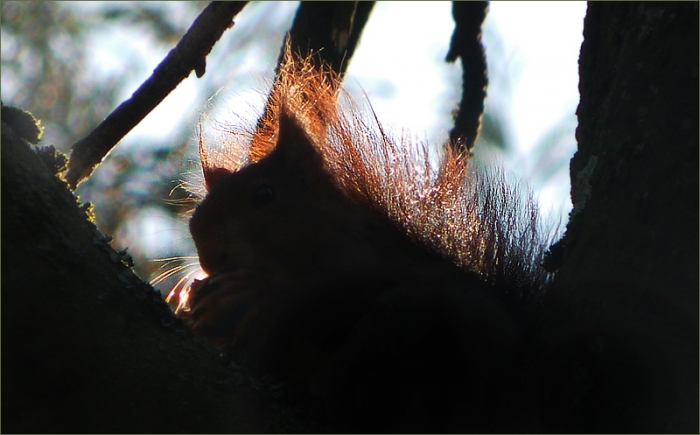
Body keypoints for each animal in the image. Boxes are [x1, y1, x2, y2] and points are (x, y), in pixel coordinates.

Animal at [167, 48, 559, 432]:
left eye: (264, 194)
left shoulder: (363, 264)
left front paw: (250, 295)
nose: (207, 256)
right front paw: (193, 297)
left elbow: (327, 303)